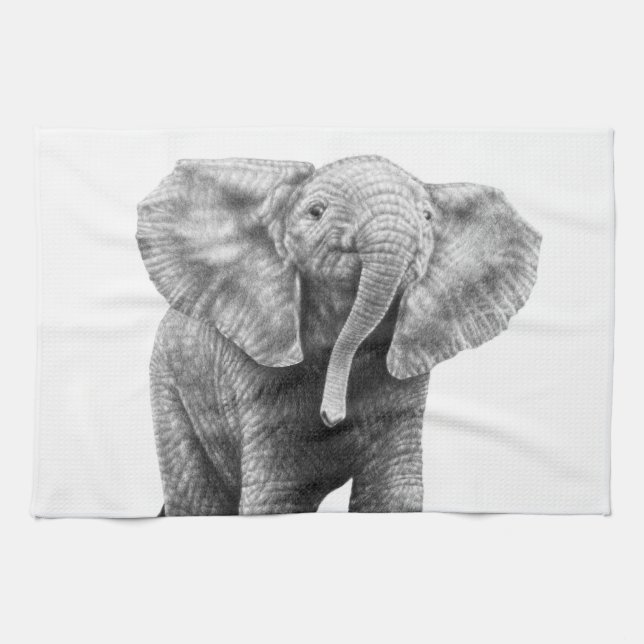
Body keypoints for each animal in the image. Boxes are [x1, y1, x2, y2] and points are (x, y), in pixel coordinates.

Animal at [136, 155, 541, 515]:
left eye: (428, 218)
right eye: (316, 211)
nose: (331, 415)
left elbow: (393, 489)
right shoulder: (254, 365)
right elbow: (278, 490)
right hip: (169, 385)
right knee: (199, 497)